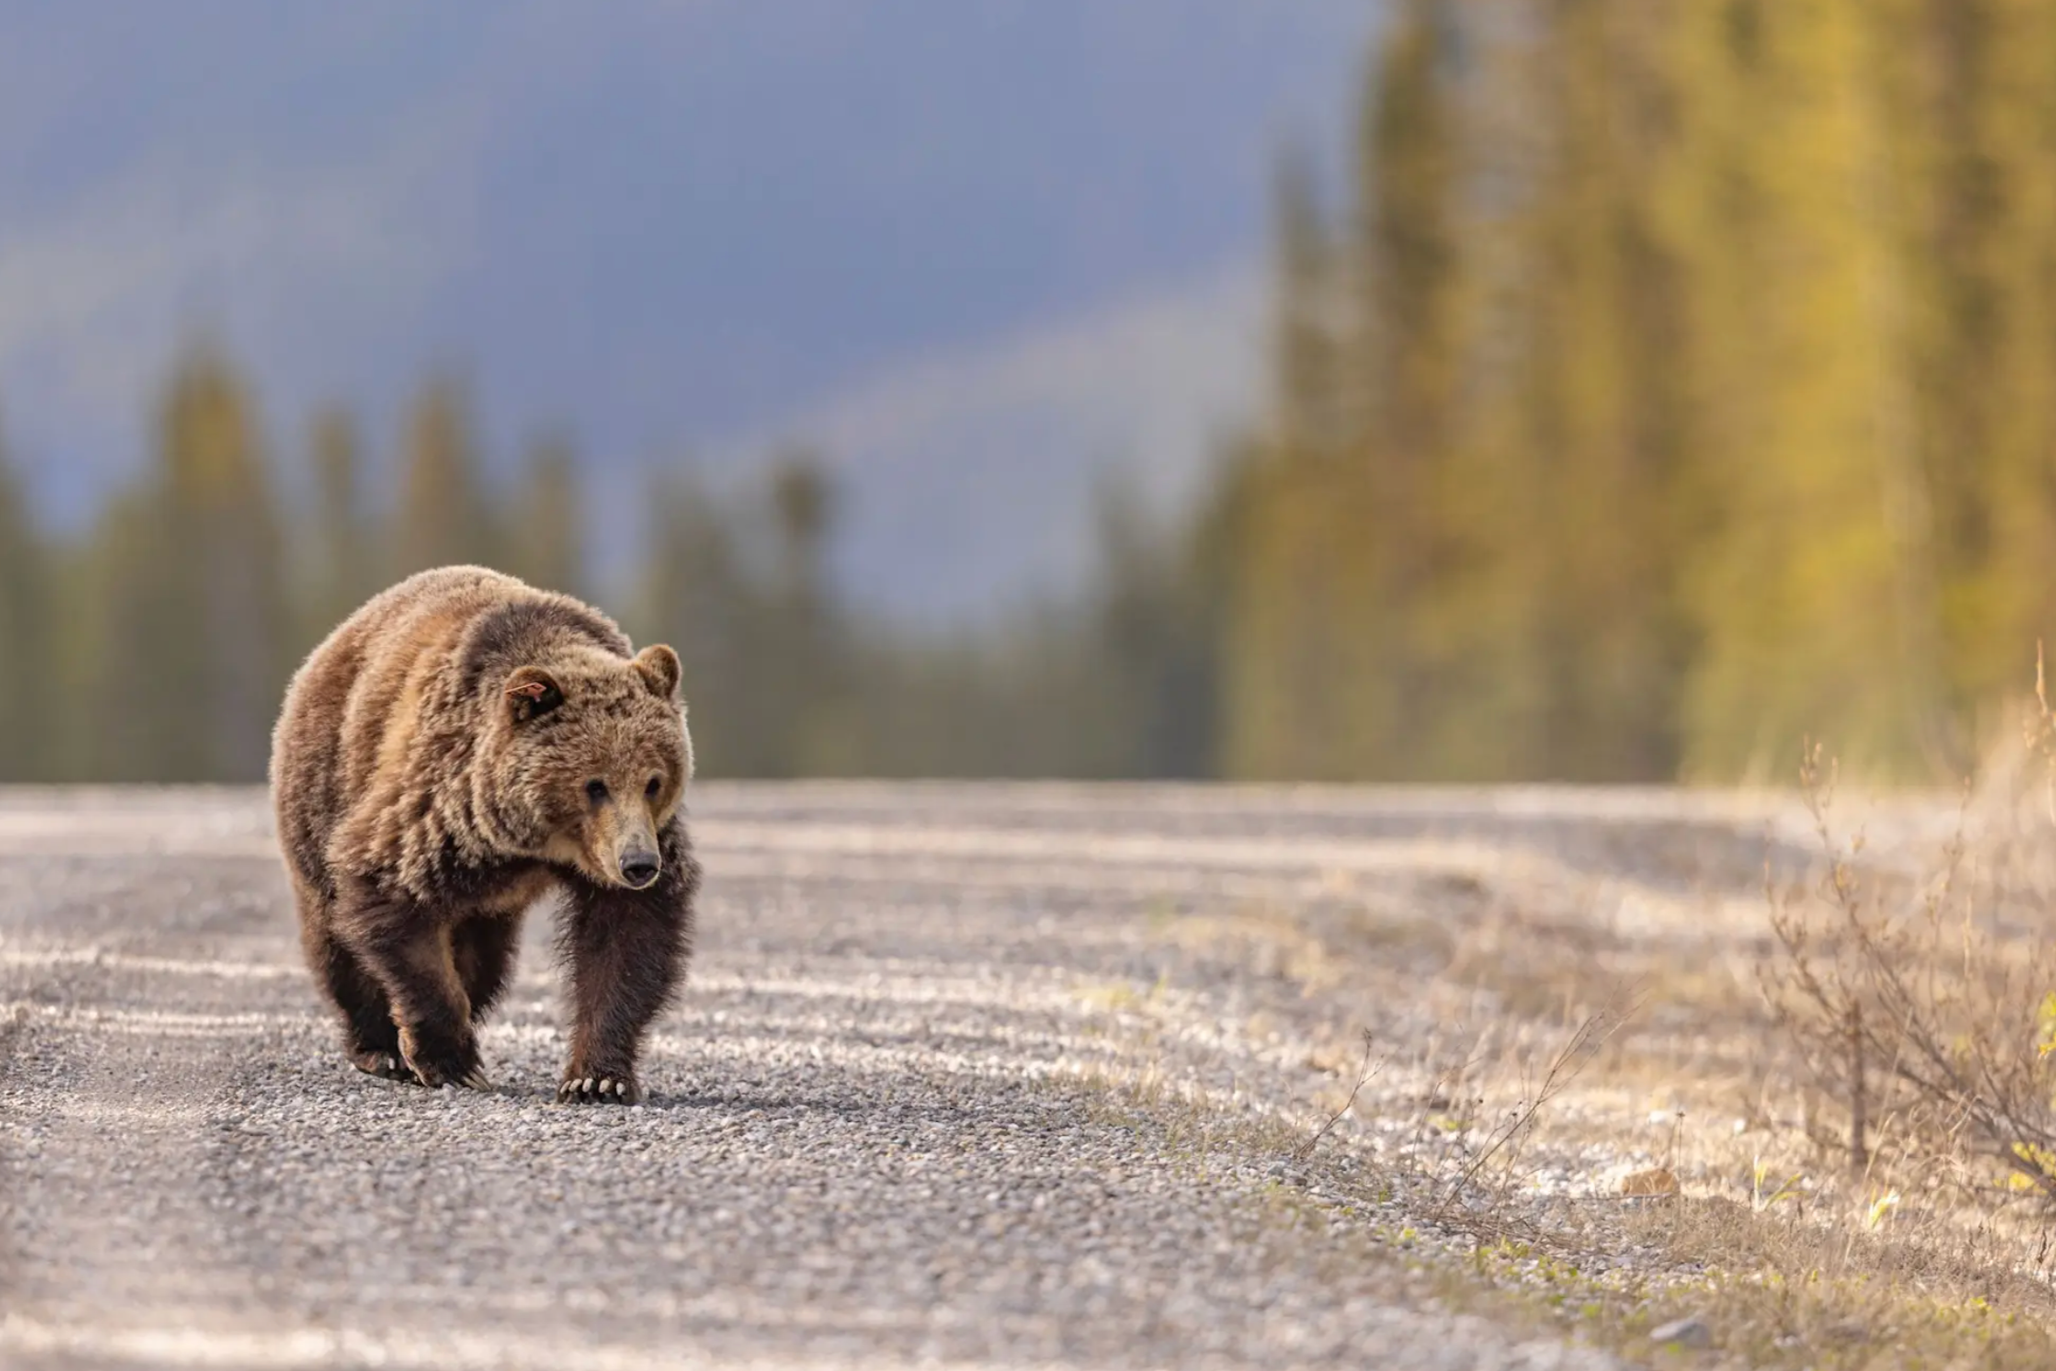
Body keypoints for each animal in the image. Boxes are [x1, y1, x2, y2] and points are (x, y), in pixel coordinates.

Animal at [270, 565, 699, 1104]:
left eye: (654, 781)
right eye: (594, 784)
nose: (638, 864)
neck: (536, 843)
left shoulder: (630, 851)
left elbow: (625, 939)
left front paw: (596, 1078)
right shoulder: (438, 810)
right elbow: (392, 901)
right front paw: (451, 1062)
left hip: (485, 904)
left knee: (484, 961)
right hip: (324, 782)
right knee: (335, 936)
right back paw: (379, 1048)